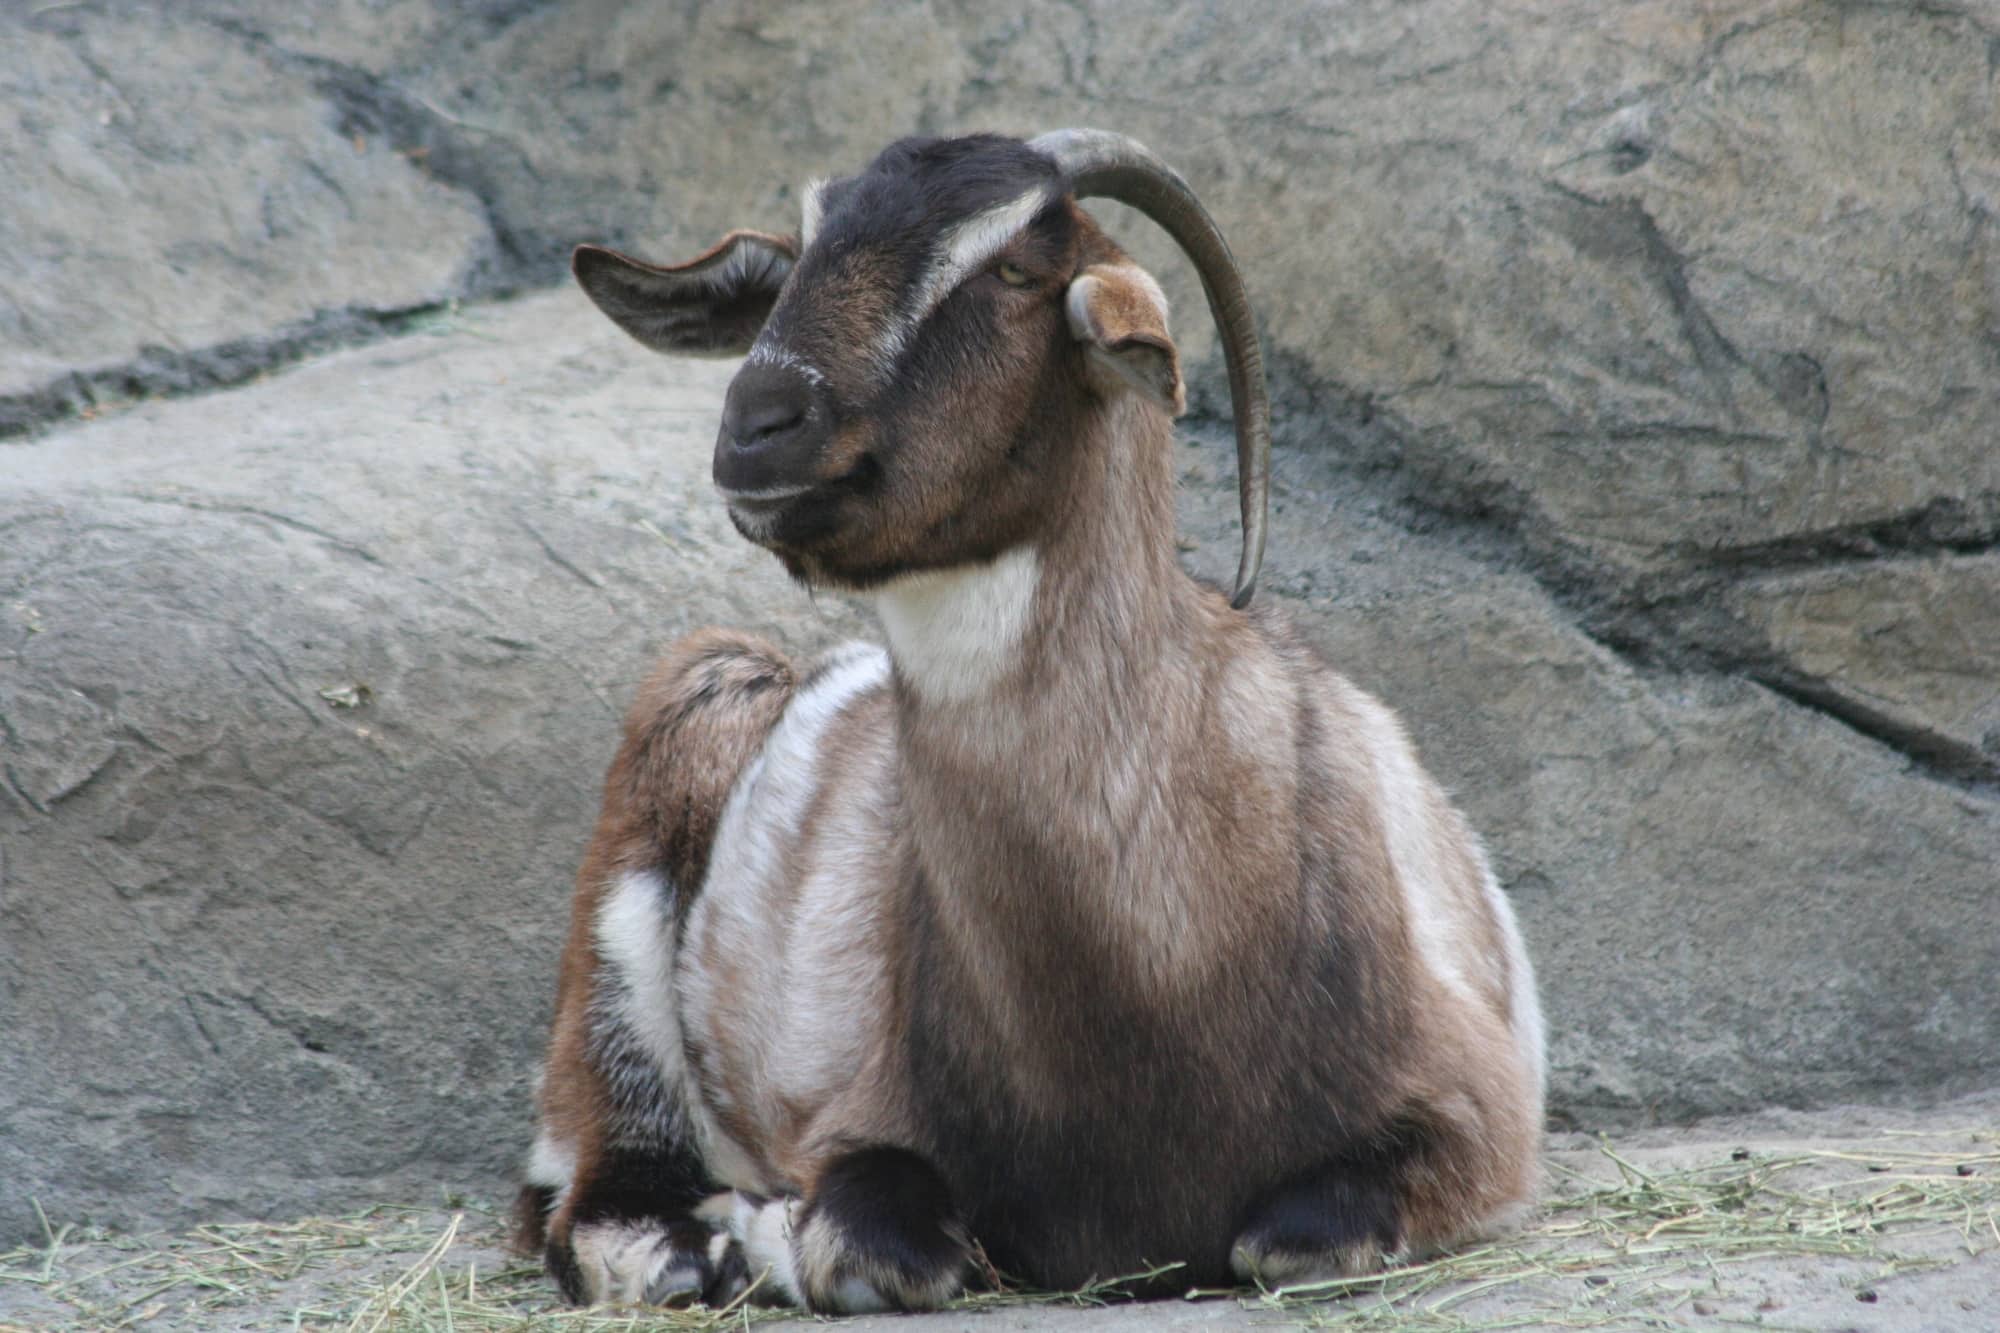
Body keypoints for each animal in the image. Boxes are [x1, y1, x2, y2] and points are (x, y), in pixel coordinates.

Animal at [515, 129, 1545, 1312]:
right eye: (799, 261)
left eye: (1013, 269)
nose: (756, 428)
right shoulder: (859, 1110)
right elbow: (870, 1246)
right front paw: (770, 1224)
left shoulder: (1485, 1116)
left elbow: (1290, 1237)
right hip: (651, 837)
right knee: (584, 1191)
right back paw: (690, 1242)